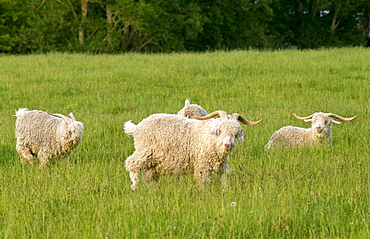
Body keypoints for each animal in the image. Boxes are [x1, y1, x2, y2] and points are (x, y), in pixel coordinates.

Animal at [123, 110, 260, 190]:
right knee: (132, 164)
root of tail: (137, 128)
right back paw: (134, 187)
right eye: (219, 130)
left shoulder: (221, 166)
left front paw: (223, 192)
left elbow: (223, 181)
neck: (209, 138)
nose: (227, 145)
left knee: (149, 176)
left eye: (236, 134)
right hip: (144, 152)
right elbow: (202, 183)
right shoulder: (202, 165)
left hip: (154, 162)